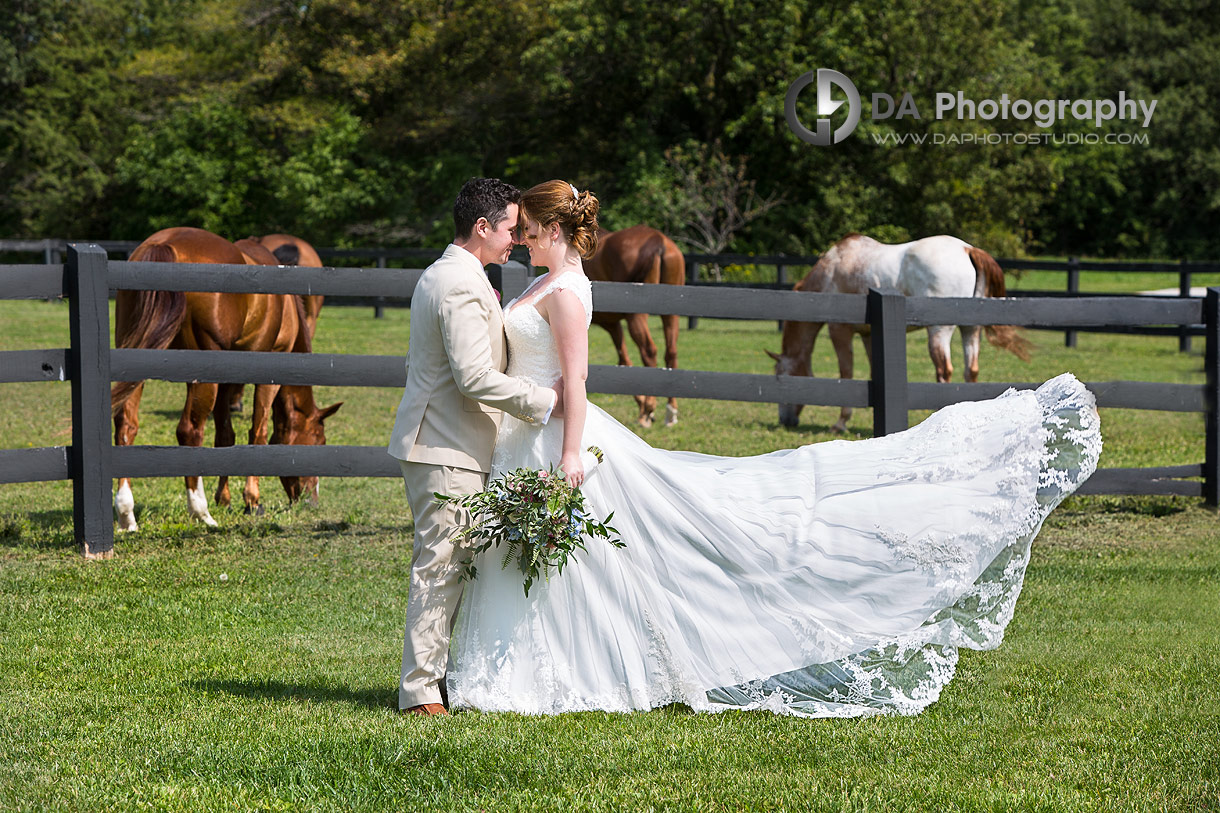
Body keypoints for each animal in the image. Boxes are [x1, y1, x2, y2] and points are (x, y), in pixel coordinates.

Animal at [111, 224, 341, 529]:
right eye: (319, 441)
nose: (310, 501)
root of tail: (166, 245)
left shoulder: (228, 378)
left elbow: (225, 435)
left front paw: (225, 498)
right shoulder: (266, 373)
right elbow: (258, 432)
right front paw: (252, 501)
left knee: (126, 425)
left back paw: (127, 513)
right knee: (189, 431)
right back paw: (200, 512)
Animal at [580, 222, 688, 424]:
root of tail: (658, 240)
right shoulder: (613, 325)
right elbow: (624, 361)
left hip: (636, 317)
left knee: (649, 352)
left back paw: (648, 410)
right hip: (671, 315)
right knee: (671, 353)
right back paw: (670, 412)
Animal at [766, 229, 1034, 429]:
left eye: (780, 374)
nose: (785, 421)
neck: (832, 271)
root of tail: (967, 249)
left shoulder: (840, 331)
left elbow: (846, 373)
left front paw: (841, 423)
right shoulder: (868, 335)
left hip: (939, 331)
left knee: (944, 371)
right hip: (970, 330)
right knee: (971, 371)